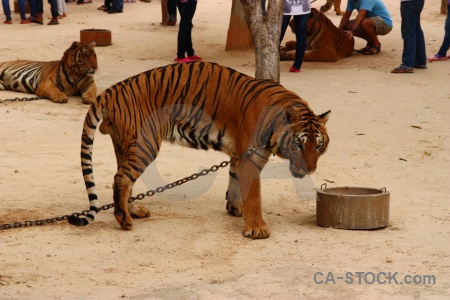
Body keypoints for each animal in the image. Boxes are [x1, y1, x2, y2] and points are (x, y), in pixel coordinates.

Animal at [67, 62, 330, 240]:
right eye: (298, 144)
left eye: (318, 145)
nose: (309, 169)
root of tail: (111, 90)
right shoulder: (251, 157)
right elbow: (254, 194)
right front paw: (257, 229)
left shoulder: (238, 155)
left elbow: (235, 181)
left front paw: (235, 208)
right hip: (144, 144)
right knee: (121, 178)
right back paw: (124, 220)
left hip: (124, 145)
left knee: (124, 180)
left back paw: (134, 211)